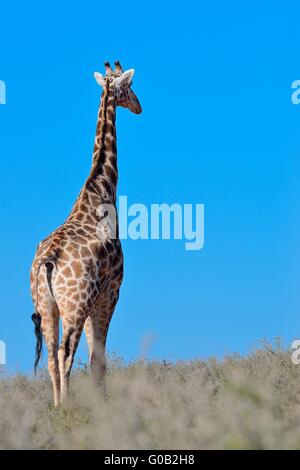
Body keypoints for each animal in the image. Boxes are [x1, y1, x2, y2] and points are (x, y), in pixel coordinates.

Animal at [29, 61, 142, 408]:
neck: (100, 189)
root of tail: (48, 261)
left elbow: (95, 360)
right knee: (65, 353)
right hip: (75, 305)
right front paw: (103, 407)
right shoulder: (111, 290)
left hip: (47, 307)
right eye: (129, 86)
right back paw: (66, 407)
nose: (139, 107)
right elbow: (98, 360)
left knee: (51, 356)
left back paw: (56, 407)